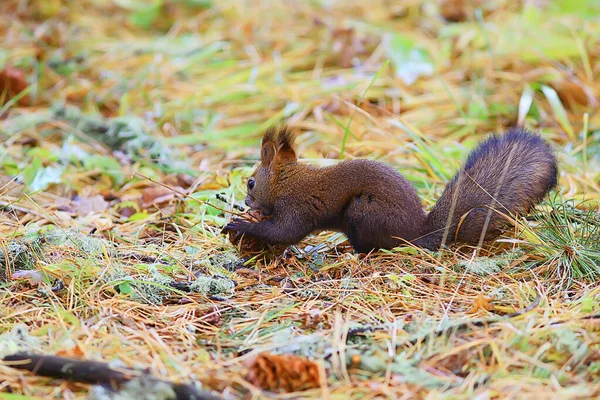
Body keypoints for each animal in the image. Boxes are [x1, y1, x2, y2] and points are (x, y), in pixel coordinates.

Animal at [225, 126, 556, 253]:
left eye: (251, 182)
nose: (246, 201)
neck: (287, 182)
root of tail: (417, 233)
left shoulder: (298, 206)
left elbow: (285, 232)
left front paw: (242, 225)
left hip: (363, 210)